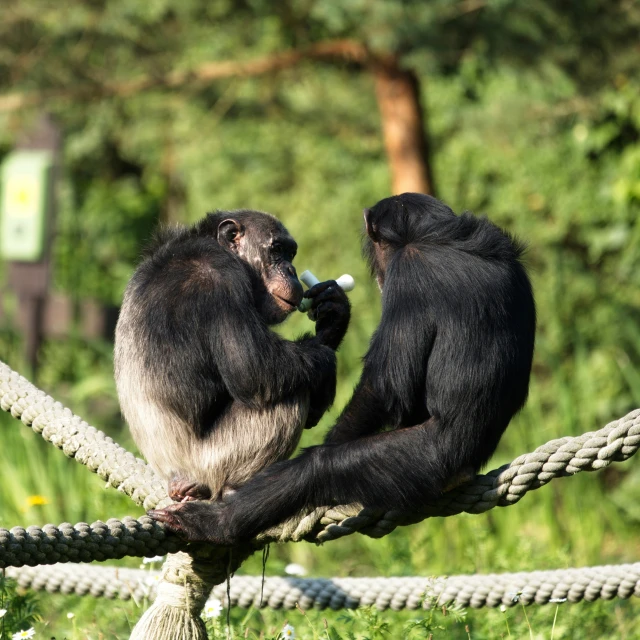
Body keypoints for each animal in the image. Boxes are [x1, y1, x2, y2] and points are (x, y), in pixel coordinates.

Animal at [117, 210, 352, 504]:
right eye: (276, 250)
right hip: (215, 461)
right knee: (289, 394)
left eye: (290, 253)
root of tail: (173, 482)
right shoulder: (220, 276)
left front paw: (334, 311)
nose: (291, 270)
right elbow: (255, 369)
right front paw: (327, 367)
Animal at [150, 192, 536, 544]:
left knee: (319, 468)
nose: (291, 270)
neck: (442, 236)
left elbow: (384, 387)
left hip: (424, 460)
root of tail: (466, 467)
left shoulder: (408, 272)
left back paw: (217, 522)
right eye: (279, 254)